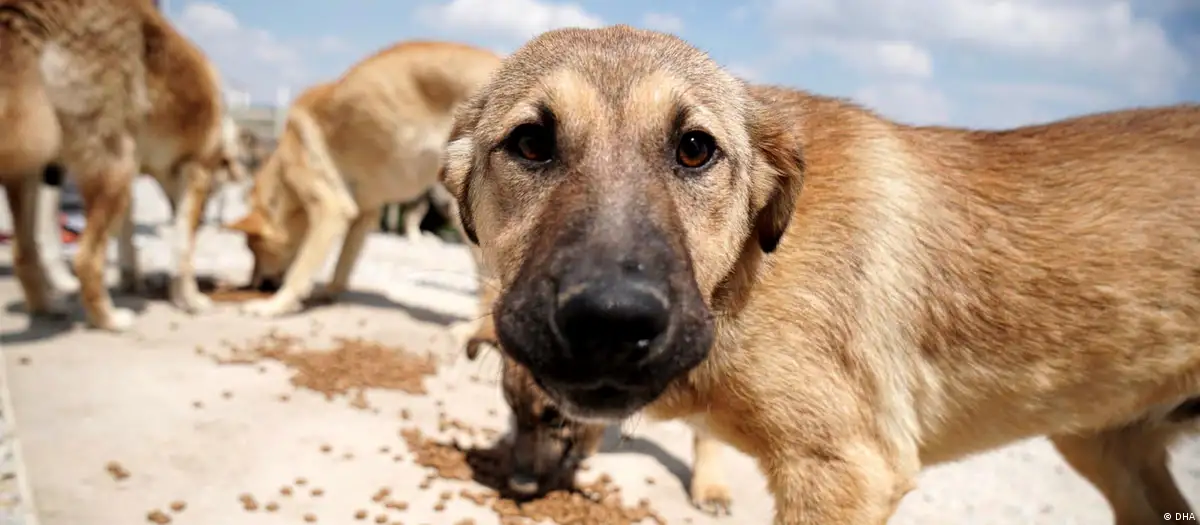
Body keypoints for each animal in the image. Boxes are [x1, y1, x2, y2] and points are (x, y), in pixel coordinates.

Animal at [12, 1, 247, 328]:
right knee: (85, 258)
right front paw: (189, 299)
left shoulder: (136, 174)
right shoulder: (193, 172)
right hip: (112, 168)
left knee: (23, 252)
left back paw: (45, 308)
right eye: (214, 191)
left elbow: (130, 232)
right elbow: (182, 246)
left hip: (37, 167)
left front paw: (133, 279)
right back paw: (107, 318)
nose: (204, 221)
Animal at [225, 41, 501, 316]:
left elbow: (300, 269)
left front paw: (276, 305)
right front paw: (328, 294)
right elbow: (343, 264)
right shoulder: (364, 213)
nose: (255, 285)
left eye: (254, 249)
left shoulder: (331, 209)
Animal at [441, 24, 1200, 525]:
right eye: (530, 144)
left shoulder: (847, 472)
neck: (746, 275)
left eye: (695, 150)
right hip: (1106, 449)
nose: (609, 320)